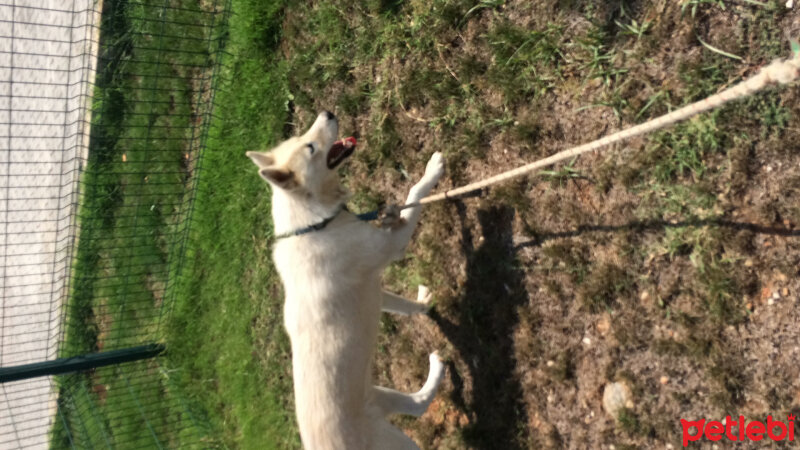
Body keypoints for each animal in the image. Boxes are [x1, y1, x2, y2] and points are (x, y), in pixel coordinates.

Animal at [247, 110, 446, 448]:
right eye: (311, 147)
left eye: (301, 137)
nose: (327, 113)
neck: (313, 224)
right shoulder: (393, 245)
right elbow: (415, 193)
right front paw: (432, 171)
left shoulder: (374, 286)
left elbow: (407, 307)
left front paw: (423, 305)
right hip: (392, 432)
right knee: (419, 406)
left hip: (376, 394)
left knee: (413, 405)